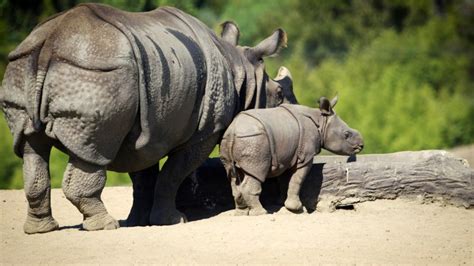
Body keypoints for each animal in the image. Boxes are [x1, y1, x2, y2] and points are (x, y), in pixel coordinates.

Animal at [0, 3, 296, 234]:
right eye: (280, 93)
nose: (294, 109)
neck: (240, 71)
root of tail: (50, 42)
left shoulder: (146, 130)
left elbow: (144, 177)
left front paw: (139, 222)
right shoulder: (204, 132)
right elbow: (173, 174)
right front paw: (173, 220)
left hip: (24, 64)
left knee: (30, 147)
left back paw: (41, 229)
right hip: (97, 73)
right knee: (93, 149)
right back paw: (105, 225)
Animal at [221, 96, 362, 215]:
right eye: (346, 134)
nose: (361, 145)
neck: (321, 122)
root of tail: (232, 131)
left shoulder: (286, 157)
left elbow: (285, 182)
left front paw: (285, 207)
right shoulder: (304, 157)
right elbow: (297, 180)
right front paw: (298, 210)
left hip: (232, 140)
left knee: (234, 176)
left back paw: (241, 213)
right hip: (254, 140)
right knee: (256, 173)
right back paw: (261, 213)